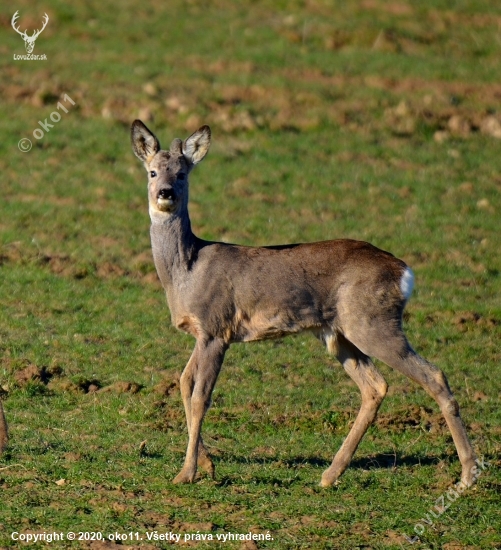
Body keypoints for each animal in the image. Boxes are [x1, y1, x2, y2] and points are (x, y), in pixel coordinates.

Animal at [131, 121, 474, 488]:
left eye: (182, 173)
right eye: (152, 171)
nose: (165, 192)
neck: (186, 271)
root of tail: (404, 272)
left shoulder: (216, 328)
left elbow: (200, 397)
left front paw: (186, 473)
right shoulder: (202, 333)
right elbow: (183, 383)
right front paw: (207, 465)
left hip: (374, 323)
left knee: (433, 375)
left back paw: (467, 476)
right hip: (340, 335)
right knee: (376, 386)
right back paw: (330, 474)